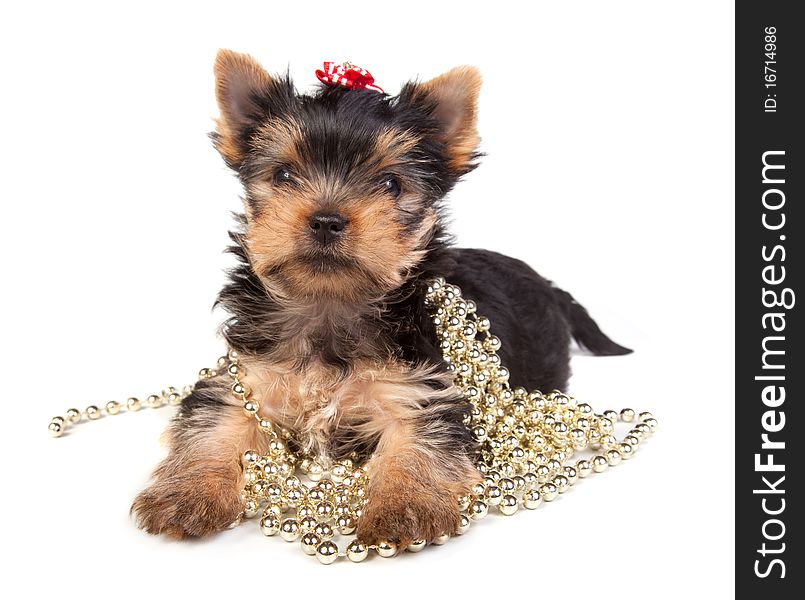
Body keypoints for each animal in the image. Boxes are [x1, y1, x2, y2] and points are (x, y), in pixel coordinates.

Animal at [132, 51, 632, 548]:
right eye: (283, 175)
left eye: (391, 184)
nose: (326, 220)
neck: (330, 305)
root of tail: (547, 283)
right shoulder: (247, 379)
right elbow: (214, 425)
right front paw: (186, 495)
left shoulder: (419, 390)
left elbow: (418, 441)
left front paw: (403, 508)